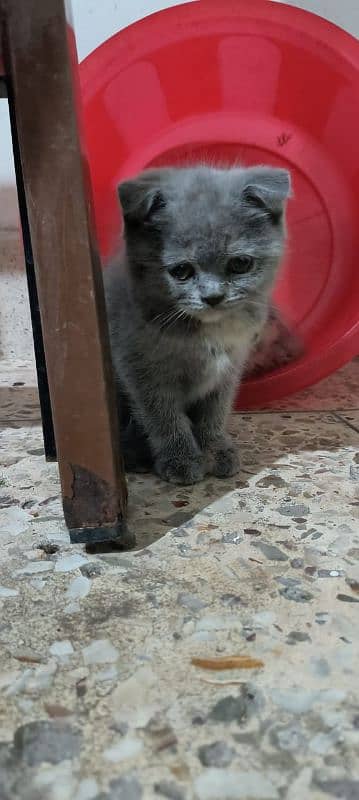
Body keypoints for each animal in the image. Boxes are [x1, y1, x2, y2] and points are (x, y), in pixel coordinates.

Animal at [105, 166, 292, 484]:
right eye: (181, 270)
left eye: (240, 263)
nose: (213, 297)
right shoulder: (142, 372)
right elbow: (163, 416)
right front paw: (180, 458)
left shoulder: (229, 370)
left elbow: (214, 412)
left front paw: (215, 448)